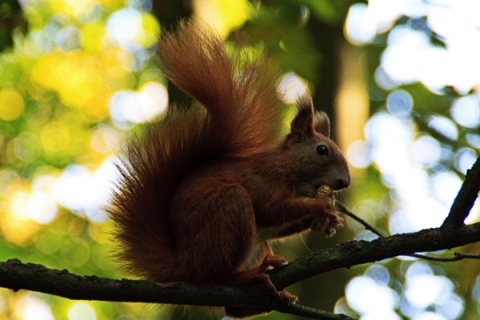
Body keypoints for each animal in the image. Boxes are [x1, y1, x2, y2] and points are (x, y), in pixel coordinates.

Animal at [110, 21, 350, 318]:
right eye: (322, 150)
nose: (344, 182)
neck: (289, 167)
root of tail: (184, 266)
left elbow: (278, 225)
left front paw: (330, 220)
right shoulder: (264, 178)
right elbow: (271, 207)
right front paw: (321, 208)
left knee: (233, 308)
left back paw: (272, 295)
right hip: (228, 210)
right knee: (217, 276)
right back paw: (248, 276)